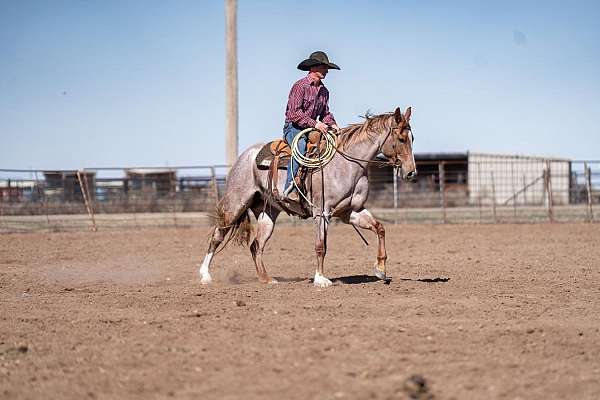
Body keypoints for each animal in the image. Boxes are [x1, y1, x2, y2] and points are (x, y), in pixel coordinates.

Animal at [199, 106, 414, 288]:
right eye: (401, 139)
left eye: (412, 138)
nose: (411, 172)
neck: (346, 164)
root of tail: (245, 156)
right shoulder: (322, 212)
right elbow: (320, 246)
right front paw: (320, 279)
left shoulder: (351, 211)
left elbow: (380, 228)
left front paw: (380, 269)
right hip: (236, 203)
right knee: (217, 236)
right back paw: (205, 275)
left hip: (268, 212)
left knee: (256, 245)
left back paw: (266, 279)